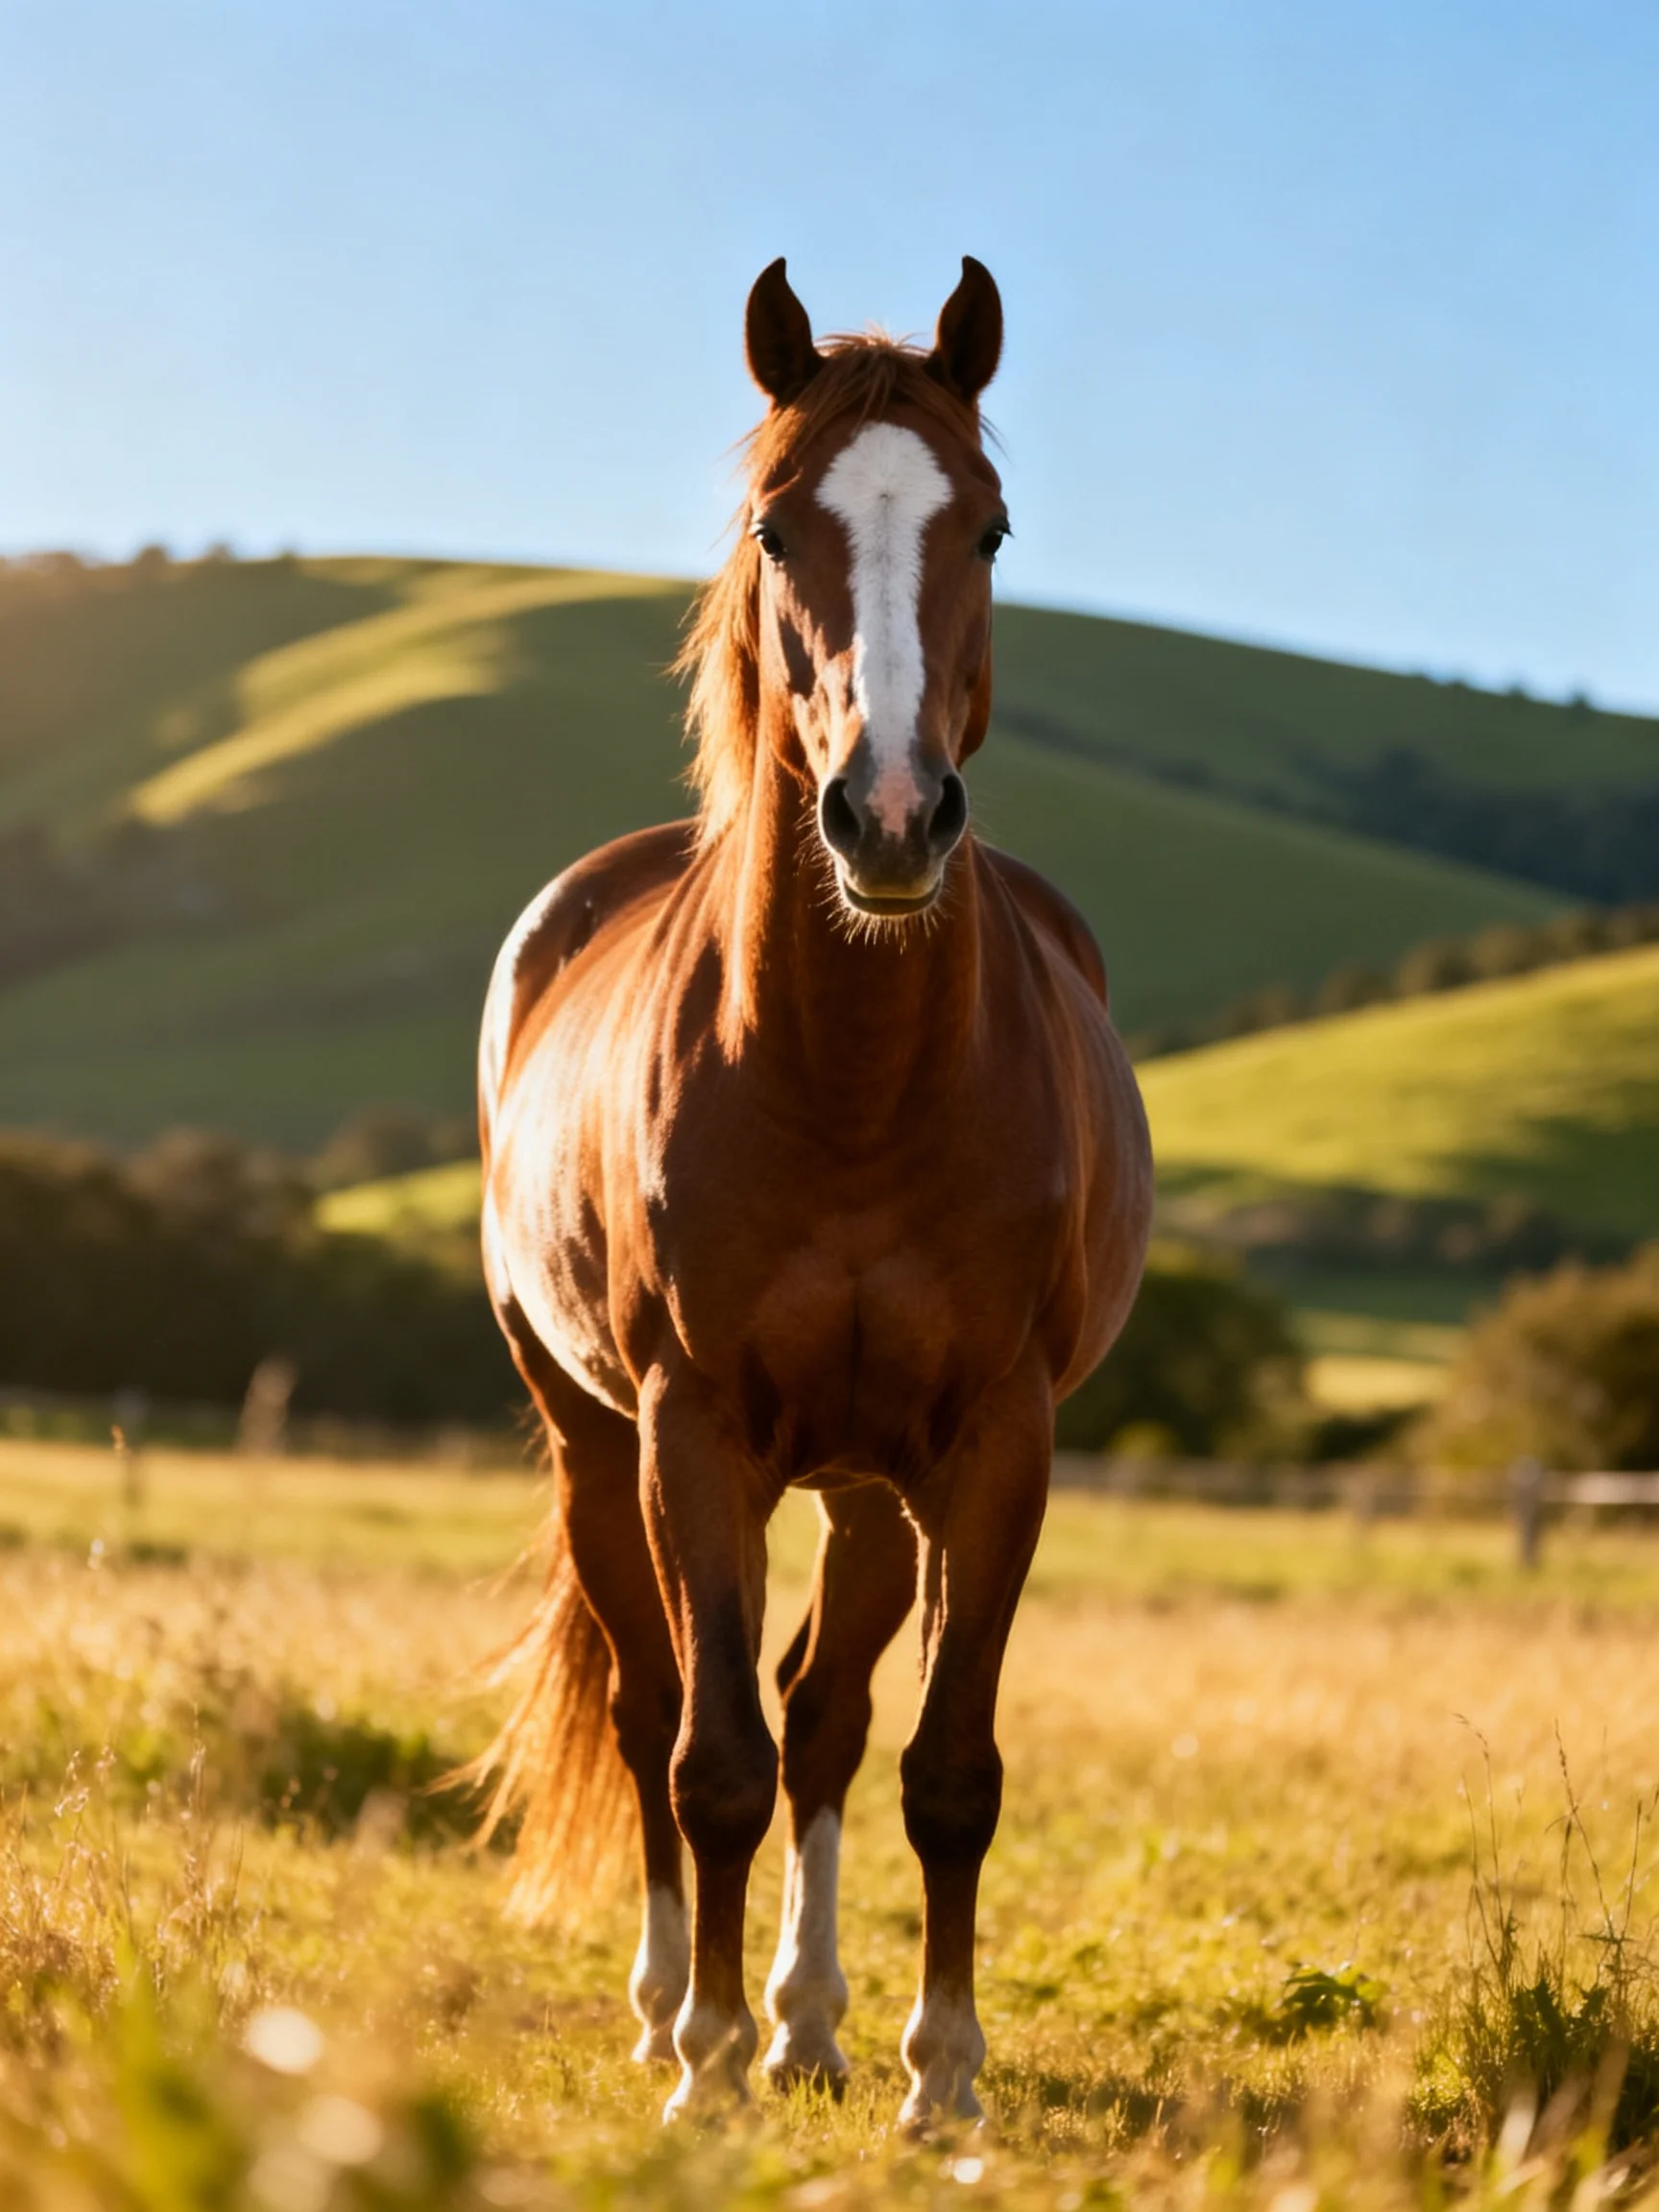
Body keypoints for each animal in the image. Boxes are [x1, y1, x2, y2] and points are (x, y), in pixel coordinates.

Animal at [477, 255, 1153, 2129]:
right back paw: (677, 2009)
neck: (849, 1080)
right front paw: (703, 2073)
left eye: (989, 524)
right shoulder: (688, 1427)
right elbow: (712, 1757)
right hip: (590, 1441)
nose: (893, 816)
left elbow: (941, 1765)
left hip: (864, 1485)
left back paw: (811, 2016)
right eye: (779, 529)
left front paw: (943, 2074)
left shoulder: (993, 1443)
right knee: (656, 1707)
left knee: (828, 1715)